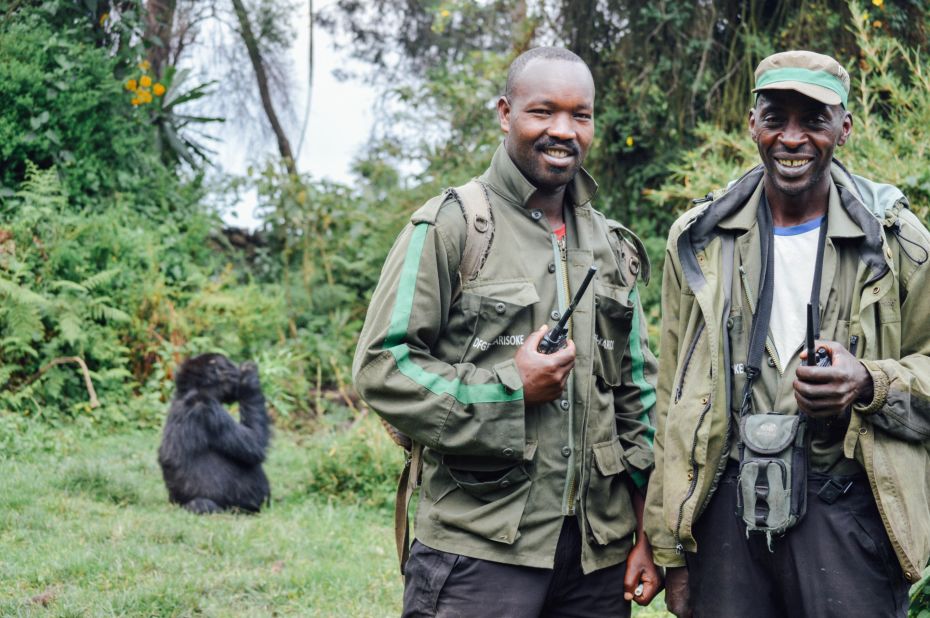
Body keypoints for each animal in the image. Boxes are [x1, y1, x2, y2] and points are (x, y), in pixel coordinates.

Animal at [157, 348, 270, 512]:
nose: (236, 370)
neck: (191, 390)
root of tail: (182, 505)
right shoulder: (209, 409)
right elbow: (255, 444)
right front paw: (249, 377)